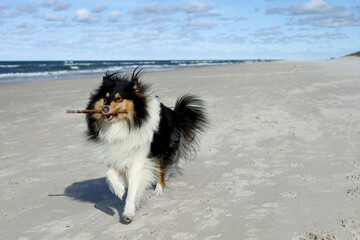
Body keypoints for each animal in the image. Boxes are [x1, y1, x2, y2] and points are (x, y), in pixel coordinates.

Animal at [85, 68, 208, 222]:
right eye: (105, 98)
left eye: (119, 98)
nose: (105, 109)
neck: (125, 124)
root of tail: (174, 112)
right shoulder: (119, 154)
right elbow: (110, 173)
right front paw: (119, 189)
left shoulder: (139, 160)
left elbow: (133, 189)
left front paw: (128, 213)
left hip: (161, 152)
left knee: (161, 172)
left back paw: (158, 191)